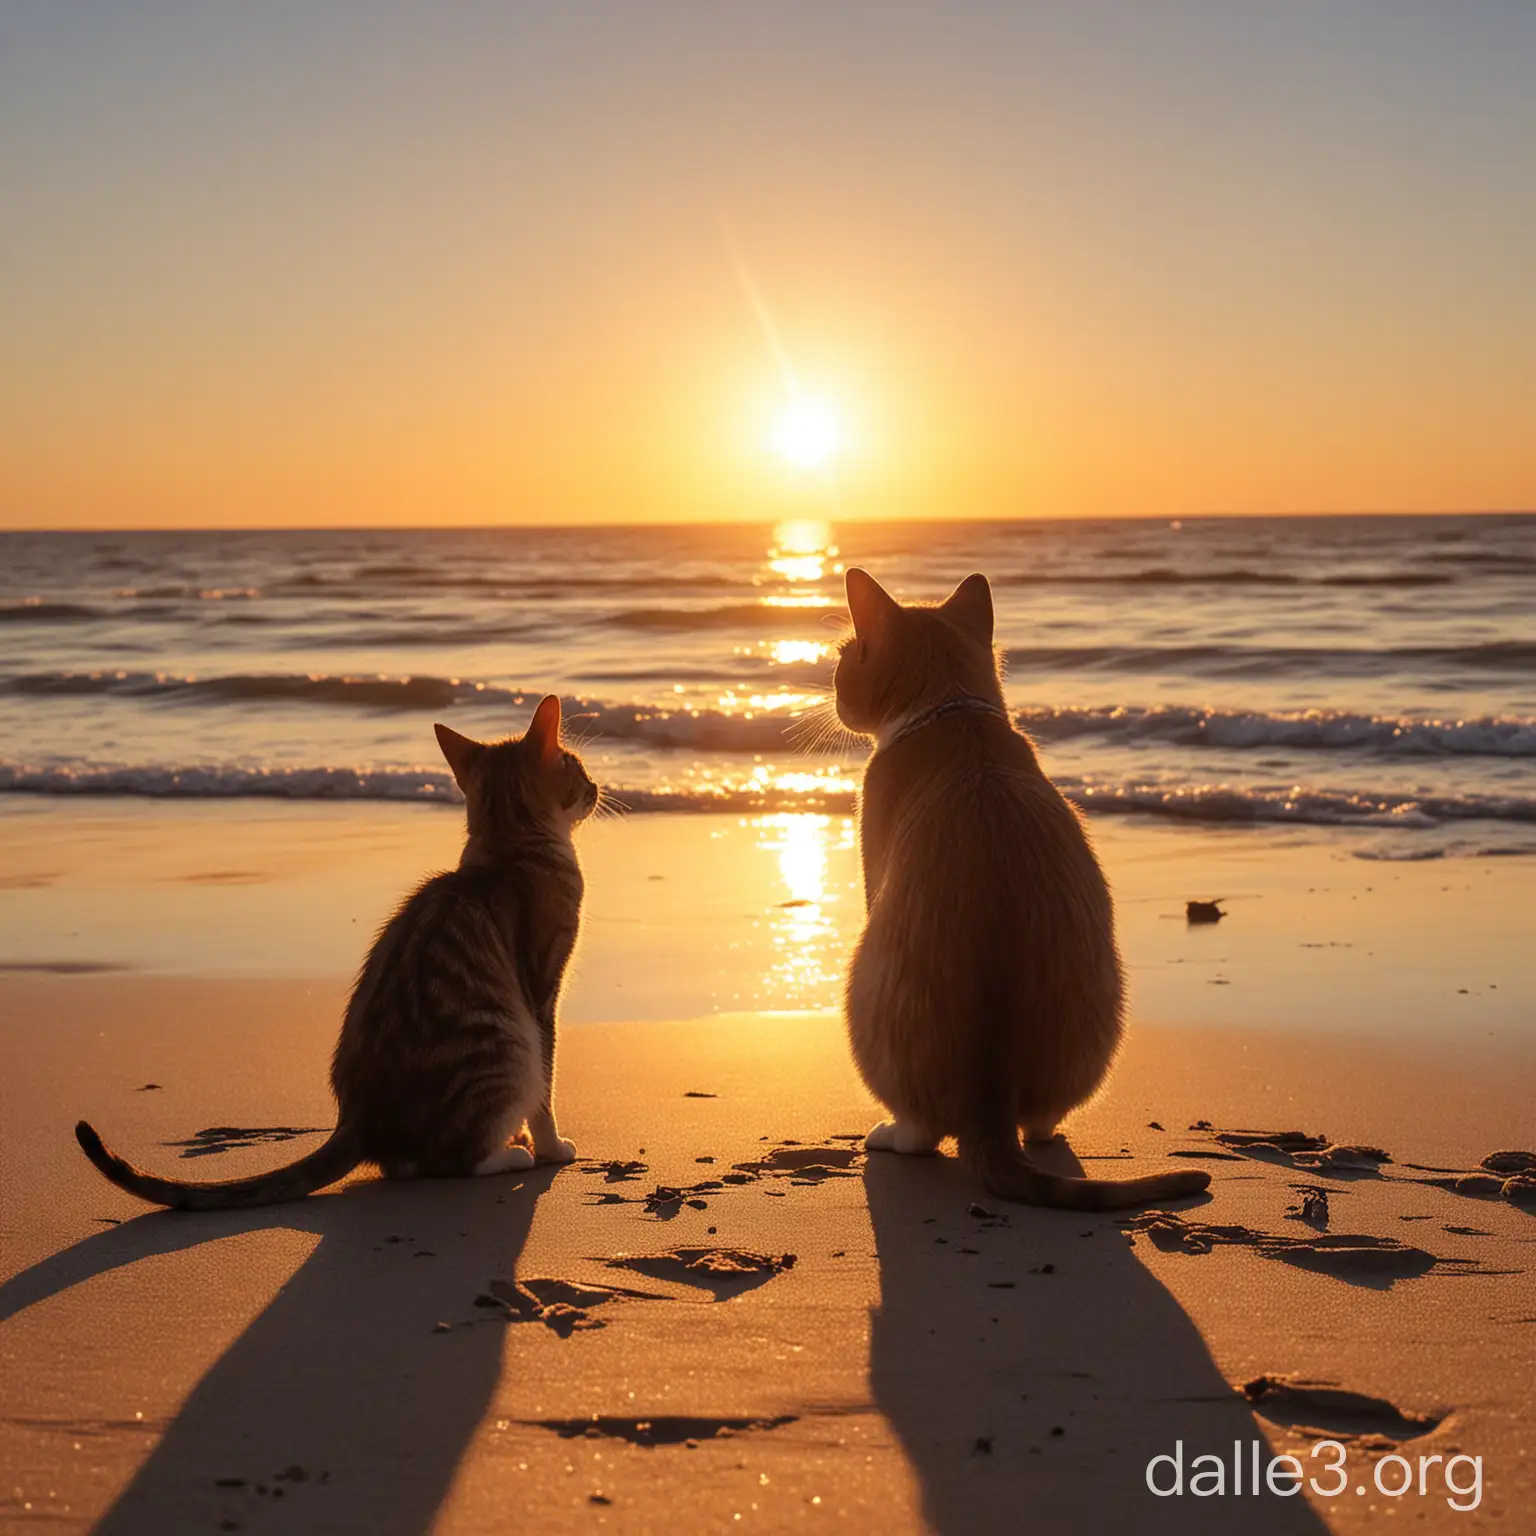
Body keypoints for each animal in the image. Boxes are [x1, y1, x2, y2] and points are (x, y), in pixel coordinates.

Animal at [76, 697, 599, 1210]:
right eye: (577, 766)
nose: (597, 786)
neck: (506, 849)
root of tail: (358, 1122)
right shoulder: (542, 994)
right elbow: (547, 1088)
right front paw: (553, 1147)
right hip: (509, 1046)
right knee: (449, 1159)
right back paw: (512, 1154)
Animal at [841, 568, 1210, 1210]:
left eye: (842, 658)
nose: (833, 688)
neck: (956, 719)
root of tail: (990, 1100)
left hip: (860, 988)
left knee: (923, 1133)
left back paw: (891, 1134)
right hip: (1106, 1007)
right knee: (1039, 1120)